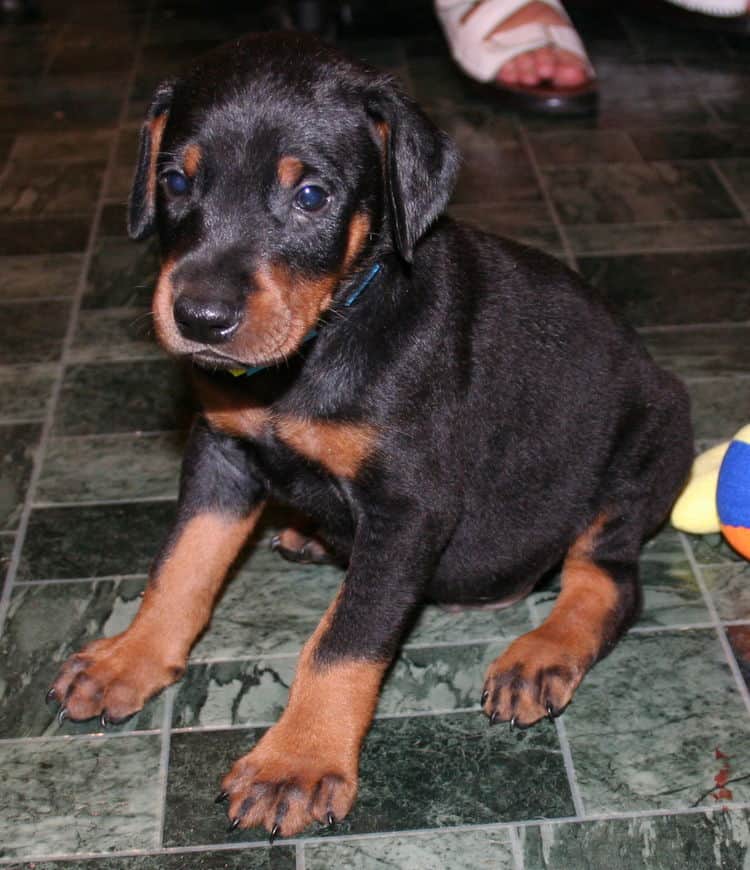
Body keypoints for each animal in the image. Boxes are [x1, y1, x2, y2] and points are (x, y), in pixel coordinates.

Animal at [47, 34, 692, 844]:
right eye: (175, 180)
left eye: (311, 196)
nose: (199, 317)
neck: (322, 342)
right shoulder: (221, 451)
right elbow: (182, 564)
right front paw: (129, 658)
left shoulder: (408, 507)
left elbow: (345, 637)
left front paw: (295, 762)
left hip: (641, 449)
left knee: (608, 579)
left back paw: (540, 655)